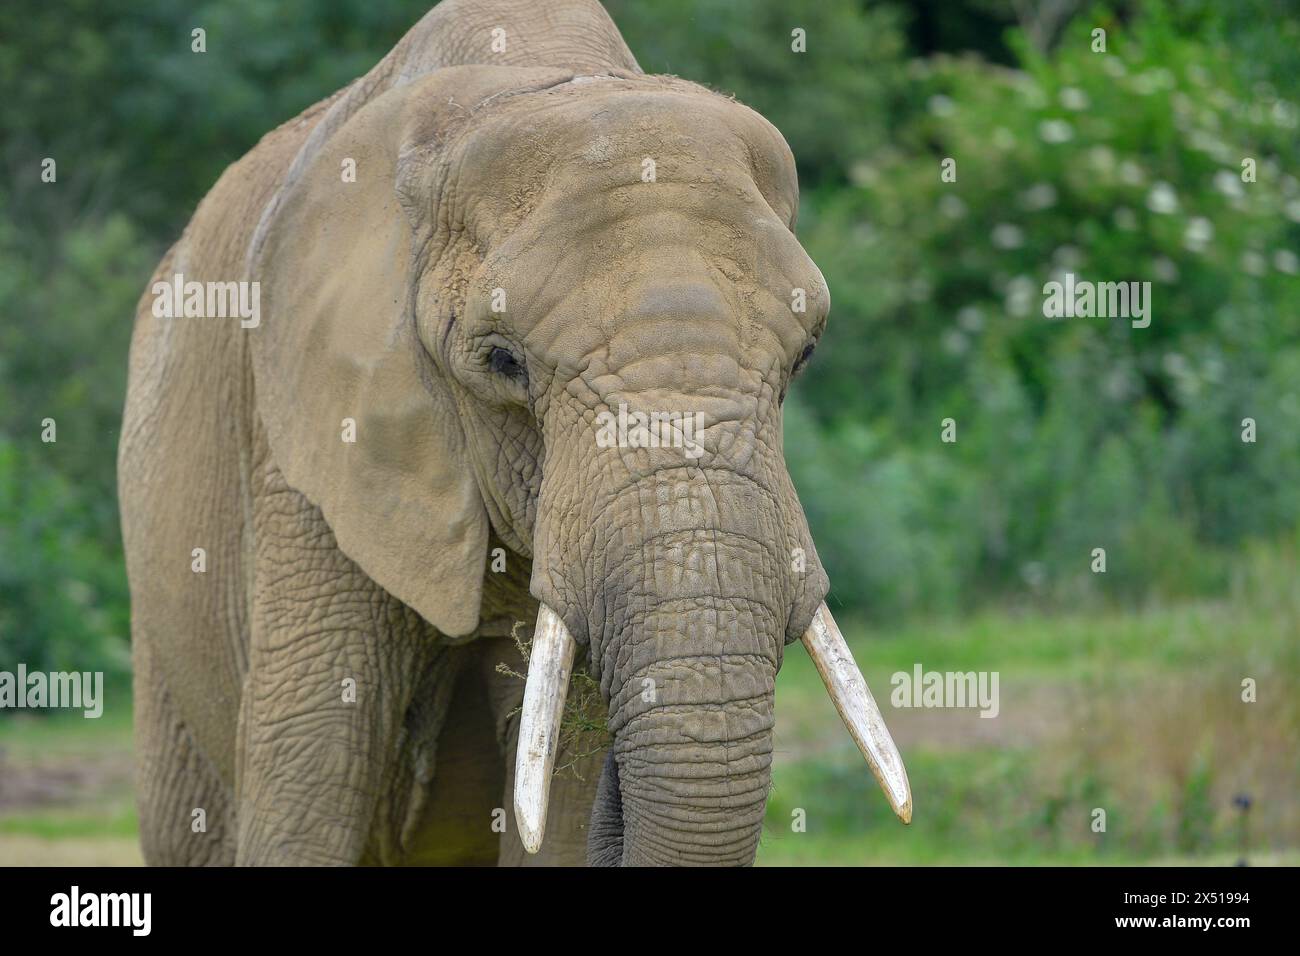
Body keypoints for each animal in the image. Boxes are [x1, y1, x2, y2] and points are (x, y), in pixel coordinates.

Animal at [122, 0, 909, 868]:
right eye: (503, 362)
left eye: (805, 355)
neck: (533, 77)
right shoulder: (303, 456)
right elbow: (309, 779)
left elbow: (559, 811)